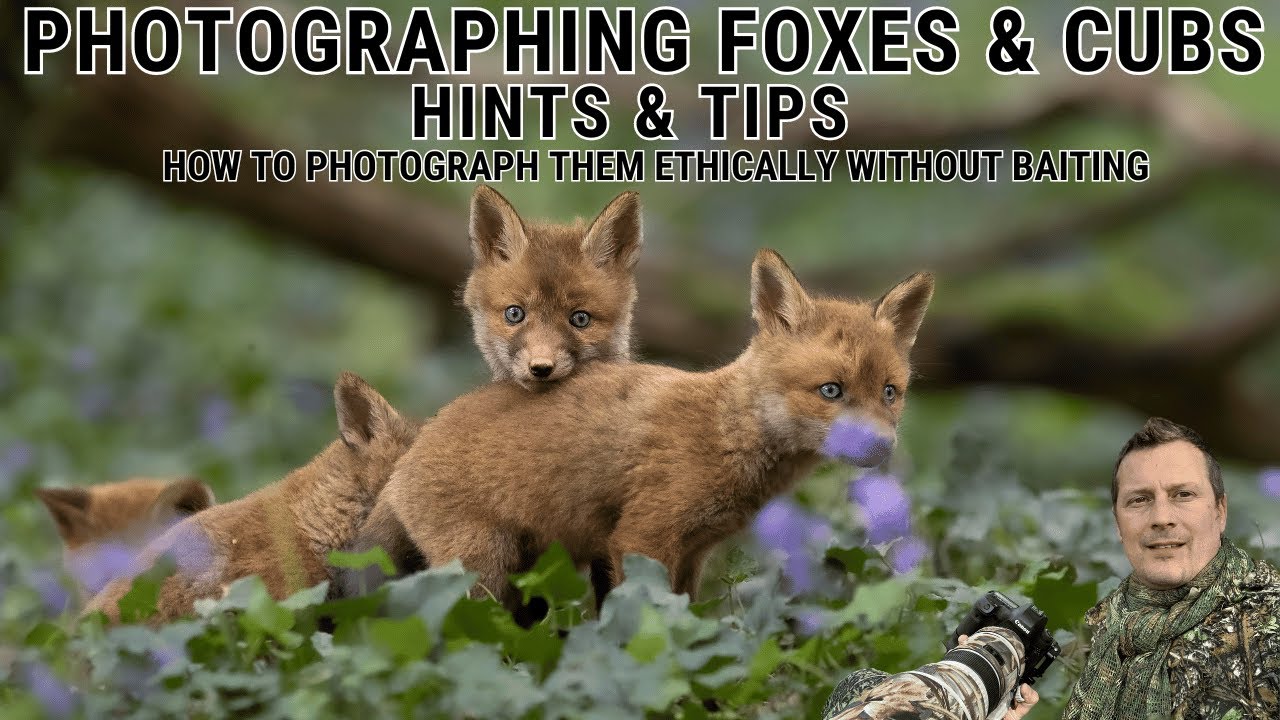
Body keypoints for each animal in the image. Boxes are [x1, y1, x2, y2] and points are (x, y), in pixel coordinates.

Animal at [372, 249, 934, 617]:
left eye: (890, 392)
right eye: (831, 391)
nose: (881, 447)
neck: (725, 431)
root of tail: (407, 454)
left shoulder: (693, 554)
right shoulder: (643, 538)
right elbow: (651, 625)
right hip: (483, 571)